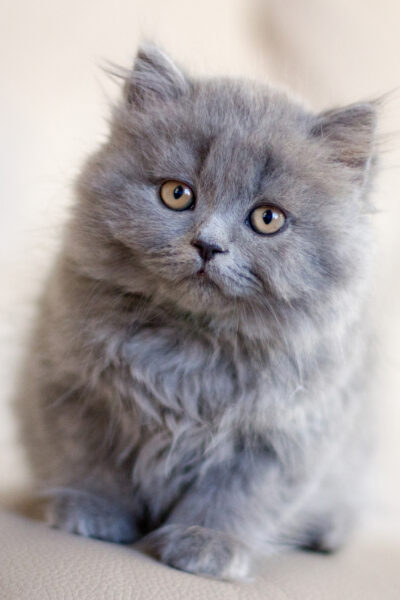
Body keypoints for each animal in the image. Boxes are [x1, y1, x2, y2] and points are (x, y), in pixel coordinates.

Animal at [15, 44, 378, 580]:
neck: (190, 343)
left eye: (267, 219)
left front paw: (206, 546)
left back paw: (326, 534)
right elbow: (88, 463)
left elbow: (232, 498)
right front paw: (92, 514)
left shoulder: (280, 438)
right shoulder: (71, 388)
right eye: (177, 193)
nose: (208, 245)